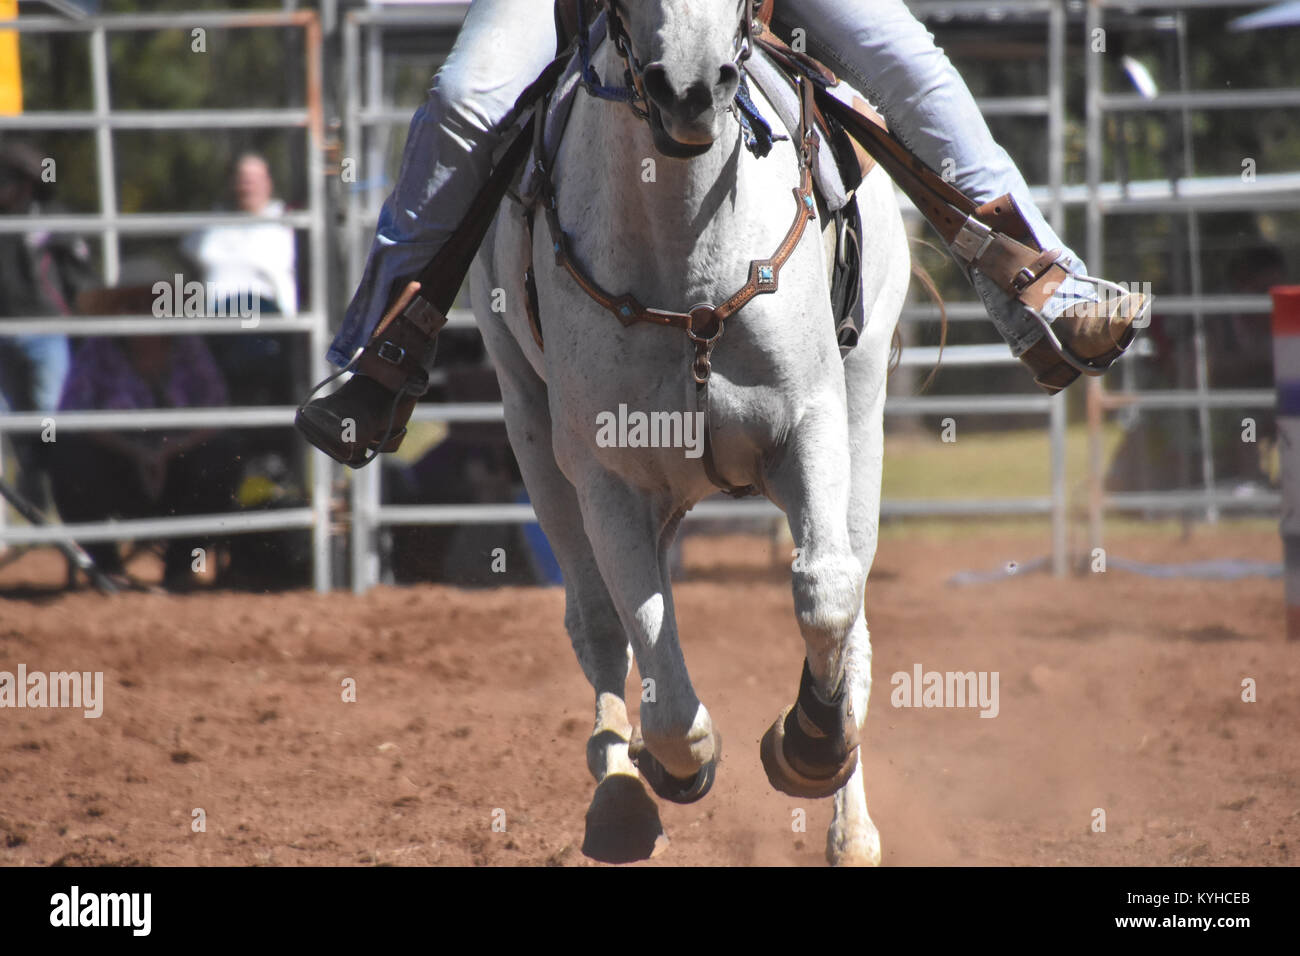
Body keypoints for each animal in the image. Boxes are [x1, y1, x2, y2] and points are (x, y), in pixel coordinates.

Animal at [473, 0, 909, 868]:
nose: (691, 90)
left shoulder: (813, 424)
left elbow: (825, 594)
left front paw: (810, 743)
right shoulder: (605, 477)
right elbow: (648, 643)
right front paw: (674, 764)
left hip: (863, 397)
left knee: (850, 597)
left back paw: (852, 827)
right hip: (532, 432)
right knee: (598, 622)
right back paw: (619, 792)